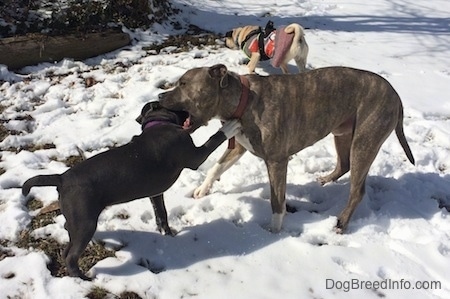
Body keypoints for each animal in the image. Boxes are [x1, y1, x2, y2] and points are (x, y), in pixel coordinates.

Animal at [160, 63, 416, 234]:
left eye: (183, 84)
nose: (160, 95)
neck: (242, 99)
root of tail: (396, 96)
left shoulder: (276, 162)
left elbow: (277, 201)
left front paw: (274, 230)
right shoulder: (238, 146)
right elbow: (217, 167)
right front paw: (202, 190)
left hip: (364, 142)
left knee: (357, 190)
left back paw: (341, 223)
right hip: (342, 134)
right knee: (343, 165)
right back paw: (325, 180)